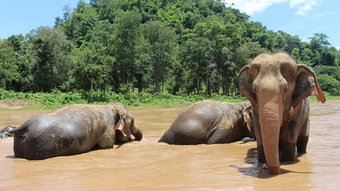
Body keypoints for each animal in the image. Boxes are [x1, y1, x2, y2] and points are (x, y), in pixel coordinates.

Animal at [8, 103, 142, 160]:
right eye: (132, 120)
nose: (137, 139)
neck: (110, 106)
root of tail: (23, 126)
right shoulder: (108, 130)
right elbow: (105, 146)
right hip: (39, 145)